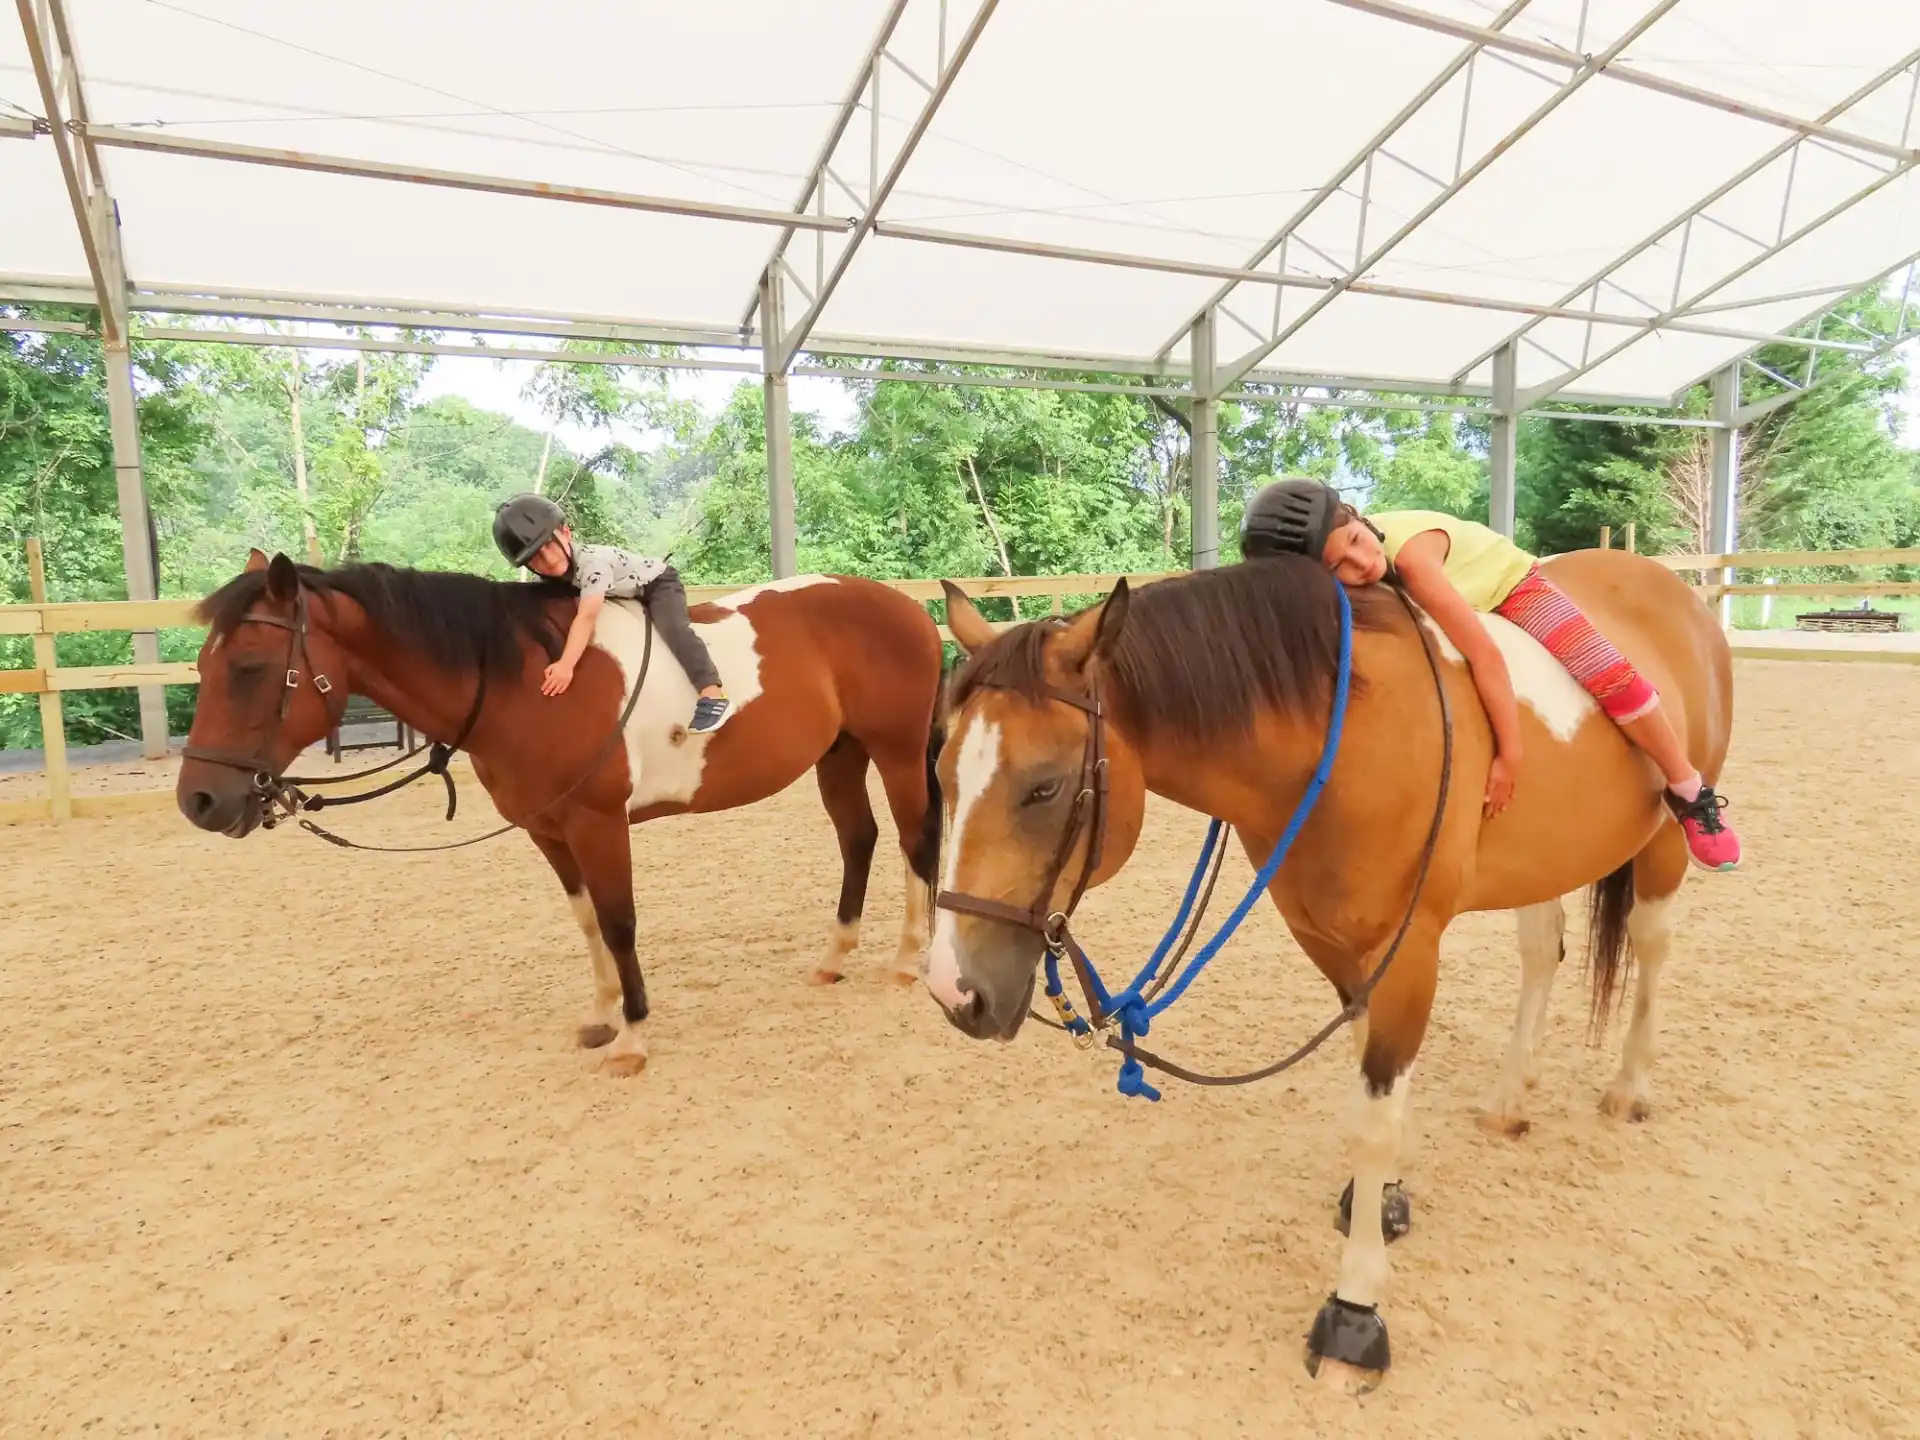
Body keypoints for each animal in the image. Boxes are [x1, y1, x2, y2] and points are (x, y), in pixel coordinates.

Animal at [176, 549, 945, 1075]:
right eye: (204, 668)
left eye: (248, 667)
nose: (199, 800)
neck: (519, 681)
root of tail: (909, 609)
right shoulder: (548, 832)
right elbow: (587, 923)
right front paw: (601, 1017)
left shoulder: (598, 825)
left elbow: (620, 921)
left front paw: (632, 1036)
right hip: (840, 754)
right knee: (858, 840)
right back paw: (834, 958)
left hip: (897, 751)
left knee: (915, 842)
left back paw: (908, 960)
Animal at [923, 548, 1732, 1393]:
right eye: (941, 773)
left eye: (1044, 787)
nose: (953, 989)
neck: (1333, 742)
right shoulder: (1336, 948)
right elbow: (1369, 1083)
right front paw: (1384, 1201)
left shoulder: (1408, 954)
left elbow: (1374, 1119)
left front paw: (1356, 1309)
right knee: (1542, 949)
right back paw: (1511, 1096)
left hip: (1662, 842)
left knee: (1652, 943)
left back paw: (1631, 1084)